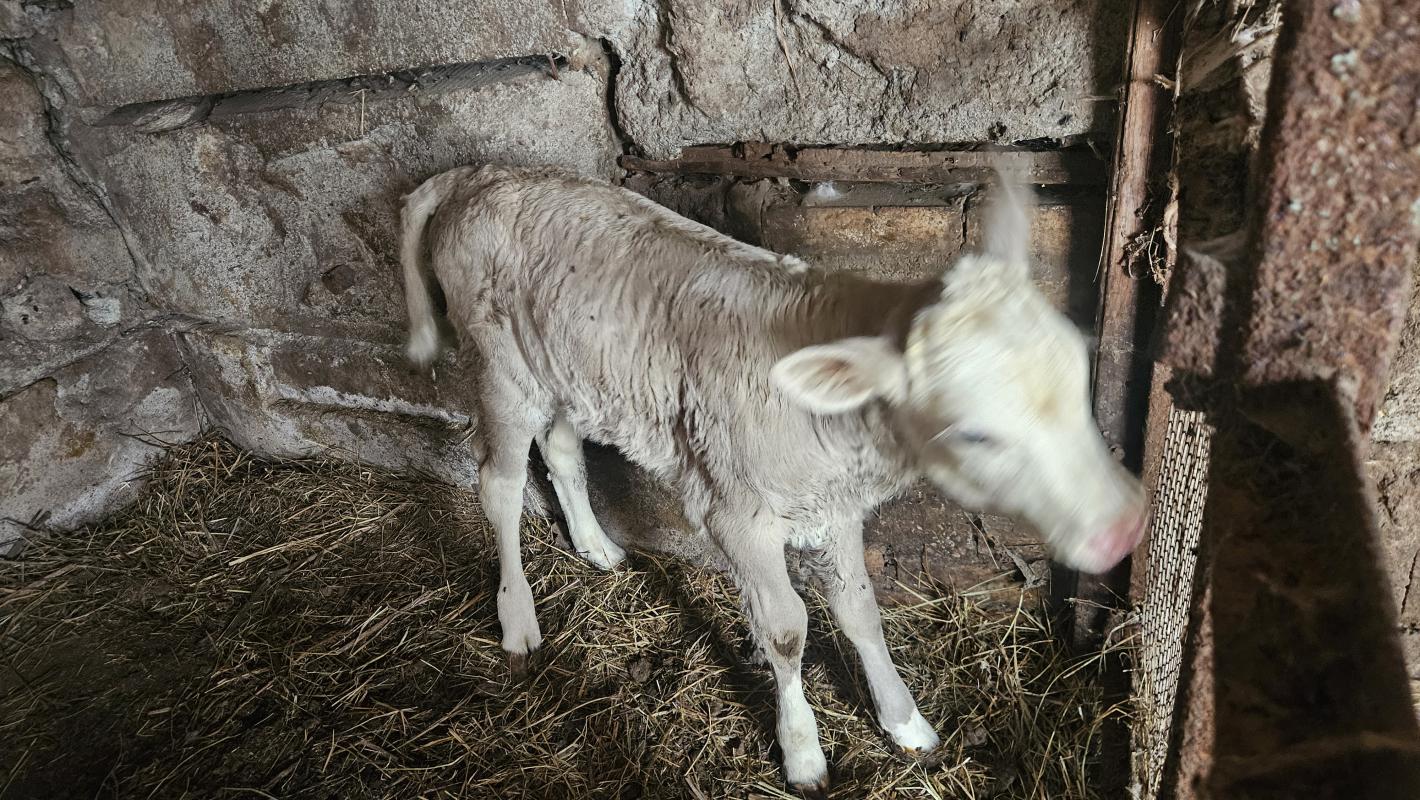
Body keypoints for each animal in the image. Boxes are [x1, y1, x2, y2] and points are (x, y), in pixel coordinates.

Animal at [399, 164, 1147, 794]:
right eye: (975, 434)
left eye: (1078, 371)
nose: (1123, 527)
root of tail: (475, 175)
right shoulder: (736, 515)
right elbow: (787, 630)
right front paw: (804, 753)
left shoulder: (836, 506)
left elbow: (860, 610)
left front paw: (905, 721)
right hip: (500, 367)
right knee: (498, 484)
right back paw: (518, 620)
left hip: (563, 368)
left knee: (560, 448)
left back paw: (596, 546)